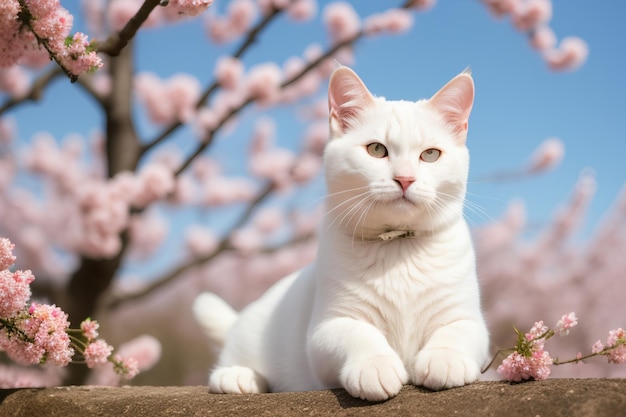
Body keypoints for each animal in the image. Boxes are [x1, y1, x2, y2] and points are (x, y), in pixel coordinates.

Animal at [193, 66, 490, 400]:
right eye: (377, 149)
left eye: (430, 155)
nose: (405, 178)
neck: (397, 246)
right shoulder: (326, 328)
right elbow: (358, 333)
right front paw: (375, 365)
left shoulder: (469, 319)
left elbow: (457, 331)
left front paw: (445, 358)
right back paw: (239, 376)